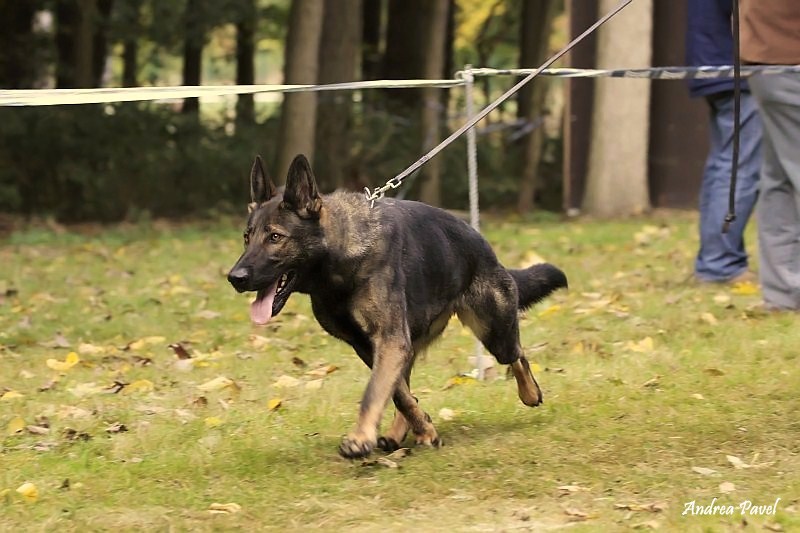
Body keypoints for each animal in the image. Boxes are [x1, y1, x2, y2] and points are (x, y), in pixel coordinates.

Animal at [227, 154, 568, 458]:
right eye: (247, 237)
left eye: (275, 237)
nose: (235, 278)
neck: (339, 260)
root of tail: (485, 246)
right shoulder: (369, 346)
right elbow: (398, 394)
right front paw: (424, 430)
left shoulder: (389, 340)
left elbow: (375, 392)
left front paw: (361, 438)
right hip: (413, 344)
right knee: (406, 385)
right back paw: (400, 431)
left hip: (493, 331)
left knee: (517, 354)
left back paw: (530, 392)